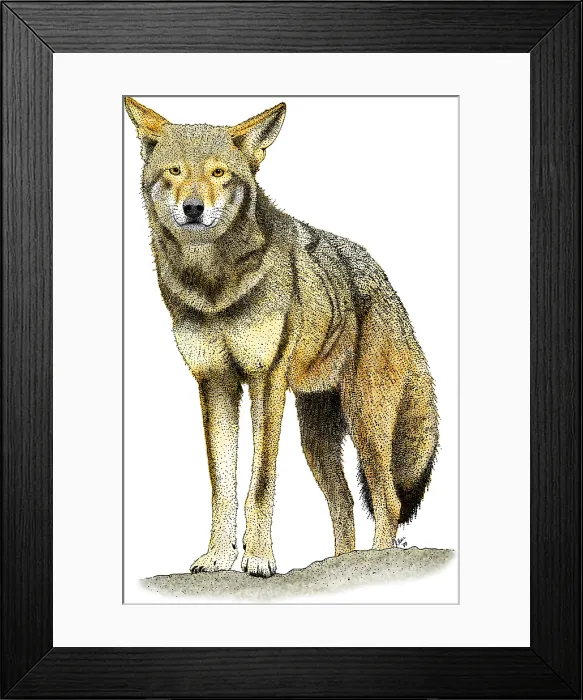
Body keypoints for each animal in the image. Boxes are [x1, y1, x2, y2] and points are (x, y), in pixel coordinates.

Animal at [125, 97, 438, 578]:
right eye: (175, 171)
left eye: (219, 172)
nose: (193, 208)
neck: (214, 286)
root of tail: (388, 285)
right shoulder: (214, 383)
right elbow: (222, 485)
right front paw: (218, 557)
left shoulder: (265, 381)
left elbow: (260, 483)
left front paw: (257, 558)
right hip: (316, 439)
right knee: (345, 504)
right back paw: (339, 564)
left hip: (367, 423)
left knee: (388, 501)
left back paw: (377, 561)